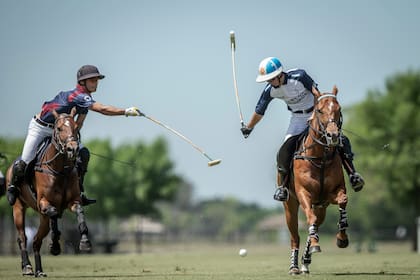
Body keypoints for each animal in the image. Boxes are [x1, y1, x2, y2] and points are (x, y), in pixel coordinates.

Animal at [5, 108, 92, 276]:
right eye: (59, 128)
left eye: (76, 127)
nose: (73, 149)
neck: (60, 170)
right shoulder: (43, 203)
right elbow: (53, 213)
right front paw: (55, 245)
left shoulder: (73, 201)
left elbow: (79, 211)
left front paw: (85, 242)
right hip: (18, 208)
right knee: (22, 238)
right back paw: (27, 267)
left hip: (41, 218)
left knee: (36, 241)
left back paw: (39, 271)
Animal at [284, 85, 350, 274]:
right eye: (319, 110)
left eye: (339, 109)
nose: (333, 135)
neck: (320, 158)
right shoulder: (303, 194)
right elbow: (310, 220)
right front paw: (315, 243)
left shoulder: (333, 193)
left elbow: (343, 202)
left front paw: (342, 238)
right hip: (290, 205)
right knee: (295, 236)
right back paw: (294, 266)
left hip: (322, 207)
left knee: (314, 224)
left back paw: (306, 261)